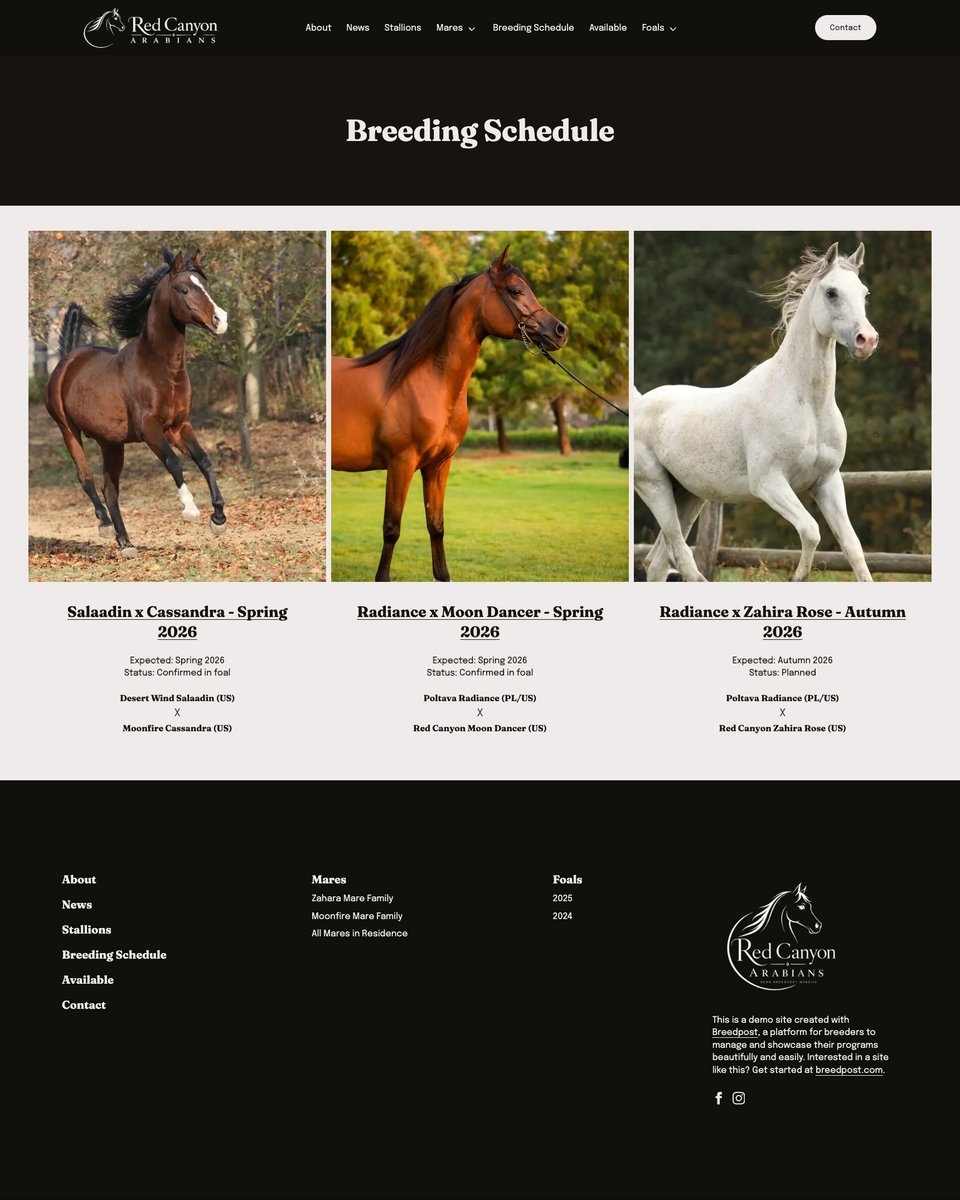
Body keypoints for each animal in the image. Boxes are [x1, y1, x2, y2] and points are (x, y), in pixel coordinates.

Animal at [44, 249, 229, 558]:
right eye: (183, 289)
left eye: (206, 285)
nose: (220, 319)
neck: (160, 368)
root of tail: (67, 360)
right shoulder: (149, 428)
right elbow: (173, 462)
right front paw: (191, 510)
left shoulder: (179, 426)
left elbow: (204, 460)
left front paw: (218, 519)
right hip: (68, 431)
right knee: (86, 478)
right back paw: (106, 526)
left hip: (111, 443)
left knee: (110, 489)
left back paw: (126, 543)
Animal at [331, 246, 568, 581]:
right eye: (515, 290)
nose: (560, 331)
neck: (427, 381)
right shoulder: (401, 463)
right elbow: (392, 528)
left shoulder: (439, 465)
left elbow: (436, 525)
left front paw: (442, 575)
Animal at [634, 243, 879, 582]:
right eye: (831, 292)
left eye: (864, 293)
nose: (867, 341)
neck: (807, 404)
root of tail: (638, 405)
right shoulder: (769, 483)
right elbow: (811, 530)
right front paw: (797, 578)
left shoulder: (827, 483)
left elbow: (853, 548)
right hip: (656, 490)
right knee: (681, 558)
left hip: (689, 496)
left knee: (659, 561)